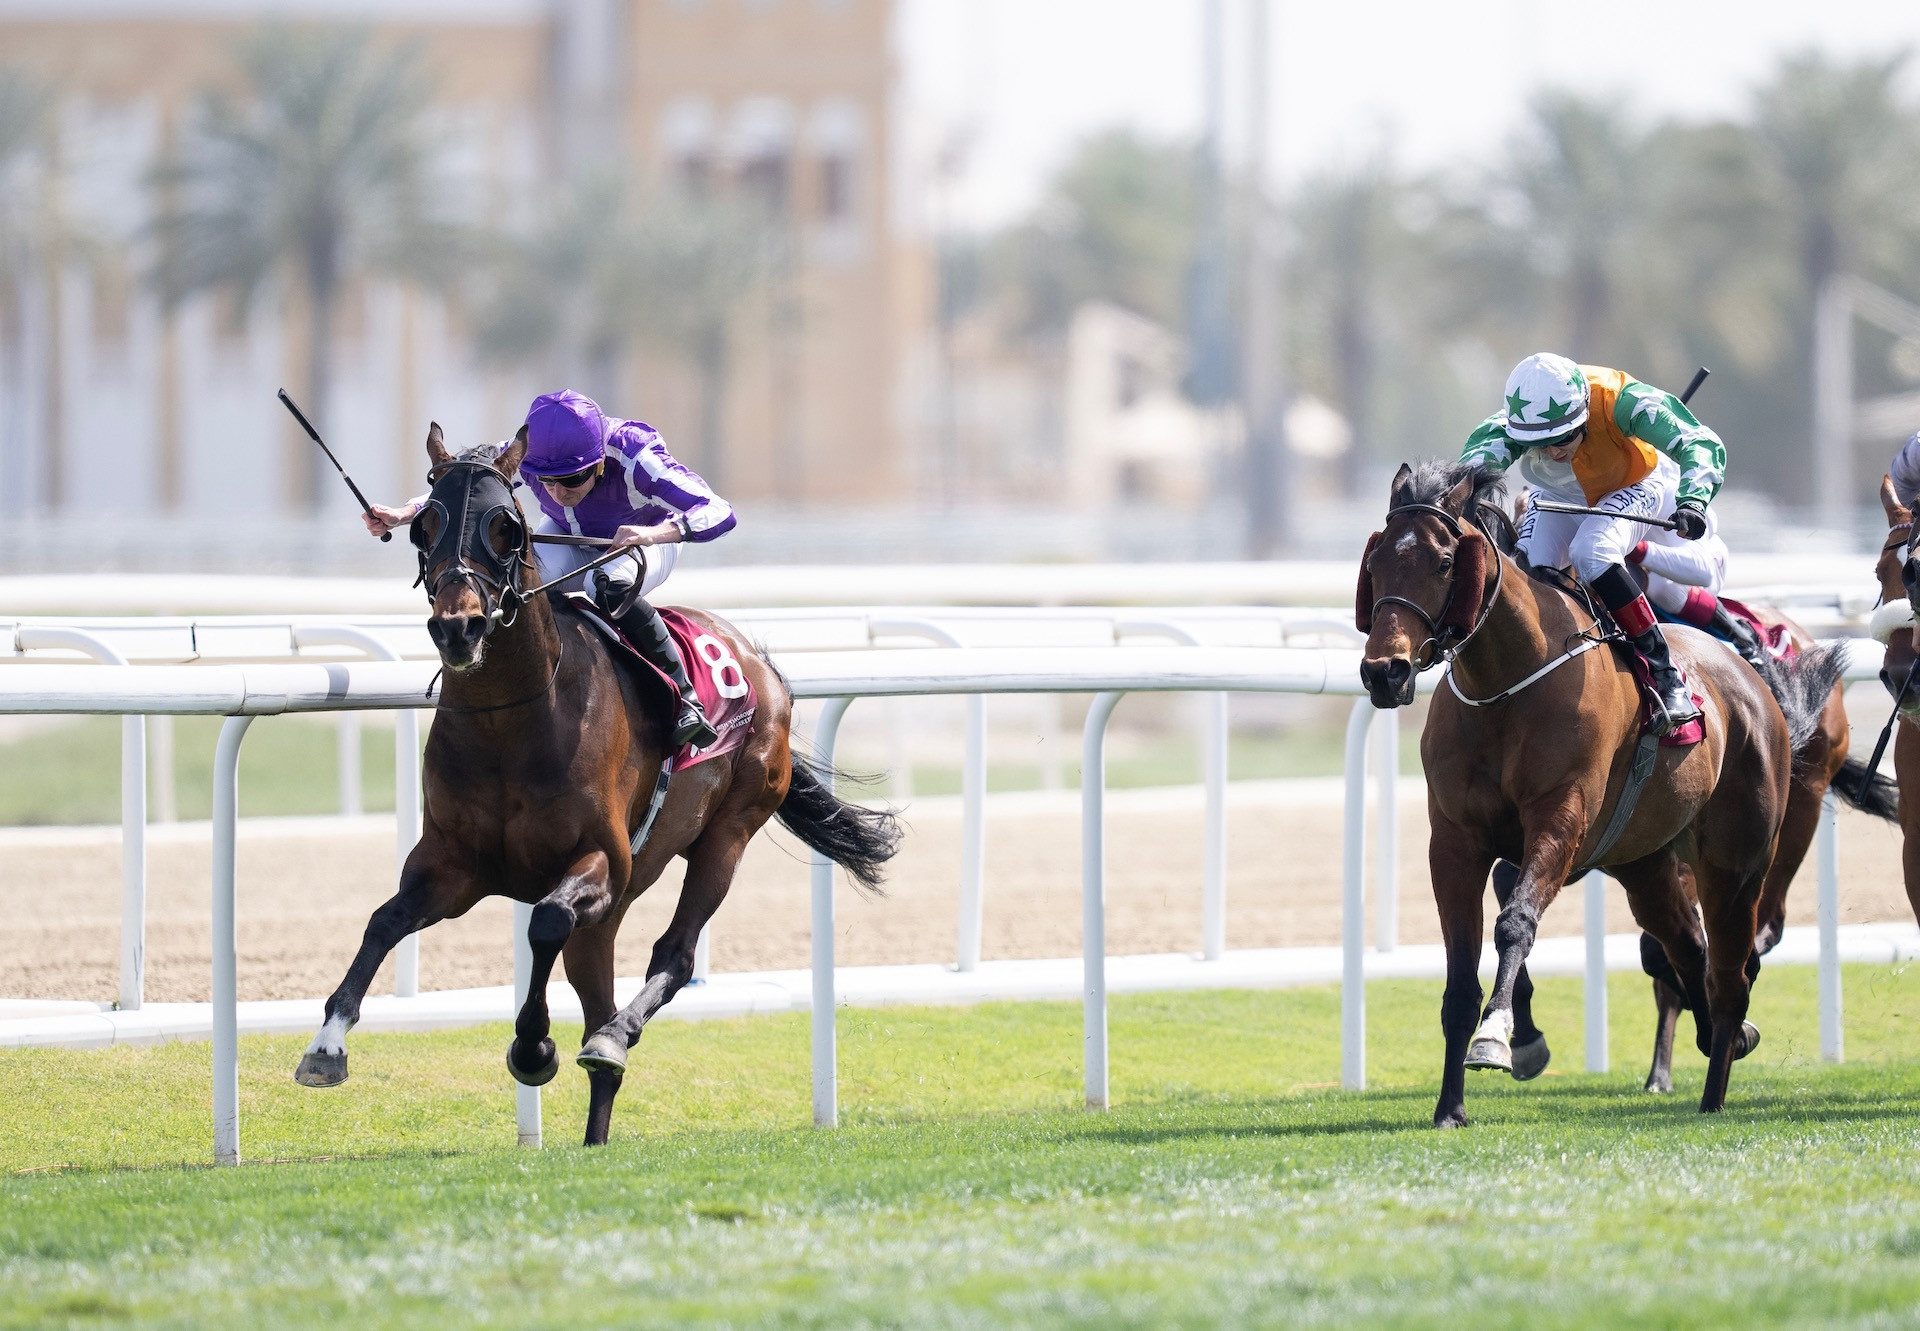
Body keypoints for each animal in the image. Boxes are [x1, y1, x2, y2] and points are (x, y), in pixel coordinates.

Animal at [293, 426, 906, 1144]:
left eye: (506, 528)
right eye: (426, 525)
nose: (458, 626)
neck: (511, 722)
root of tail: (758, 662)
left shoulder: (602, 859)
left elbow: (547, 921)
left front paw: (534, 1046)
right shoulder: (452, 863)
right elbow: (384, 920)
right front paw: (327, 1044)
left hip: (728, 831)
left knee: (672, 954)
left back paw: (614, 1036)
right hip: (616, 906)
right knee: (600, 994)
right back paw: (596, 1119)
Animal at [1359, 457, 1835, 1121]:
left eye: (1444, 561)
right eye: (1376, 560)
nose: (1385, 671)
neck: (1508, 684)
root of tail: (1752, 679)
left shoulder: (1561, 822)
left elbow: (1515, 922)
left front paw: (1497, 1038)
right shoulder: (1455, 841)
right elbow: (1459, 976)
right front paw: (1450, 1107)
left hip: (1737, 863)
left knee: (1730, 974)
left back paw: (1715, 1089)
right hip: (1647, 864)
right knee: (1686, 948)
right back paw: (1721, 1039)